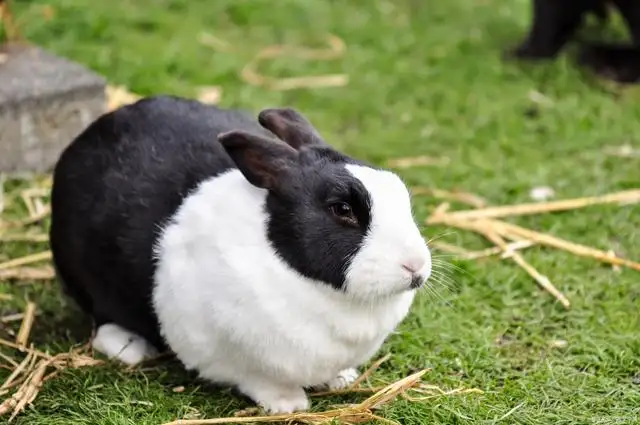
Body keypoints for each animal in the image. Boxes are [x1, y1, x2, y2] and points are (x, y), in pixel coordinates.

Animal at [47, 94, 432, 412]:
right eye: (342, 209)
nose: (415, 266)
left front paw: (342, 378)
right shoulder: (228, 356)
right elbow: (257, 380)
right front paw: (288, 404)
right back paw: (129, 347)